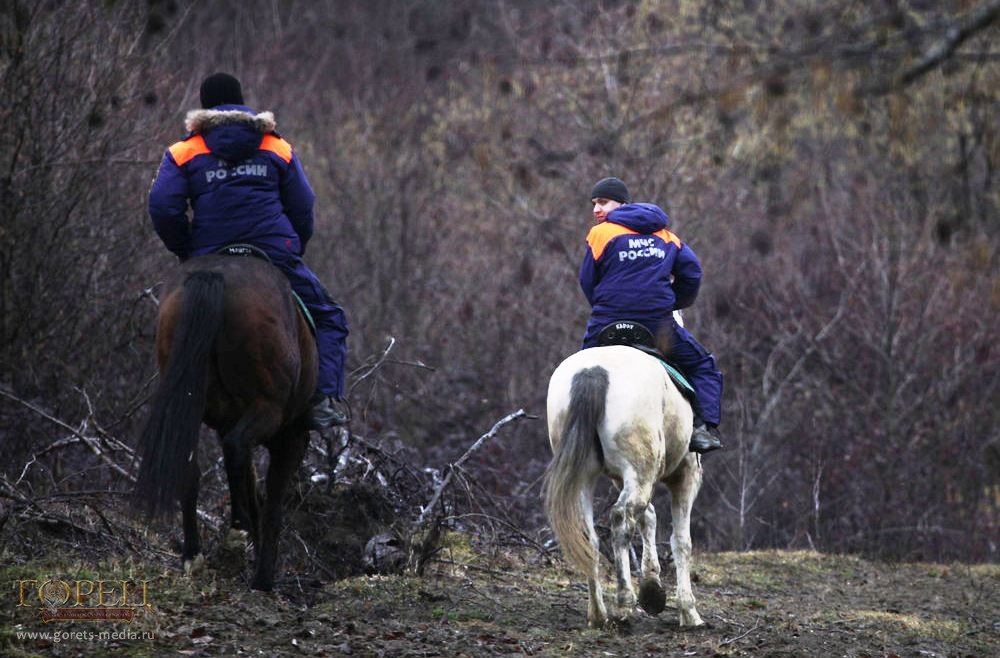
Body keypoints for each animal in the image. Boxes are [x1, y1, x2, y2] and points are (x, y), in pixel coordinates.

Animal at [137, 255, 314, 588]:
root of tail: (213, 275)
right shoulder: (292, 439)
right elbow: (272, 504)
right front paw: (263, 577)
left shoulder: (227, 423)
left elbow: (250, 488)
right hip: (268, 408)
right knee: (236, 448)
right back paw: (235, 537)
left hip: (192, 404)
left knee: (193, 465)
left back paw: (194, 555)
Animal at [548, 344, 704, 624]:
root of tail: (592, 372)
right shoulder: (686, 476)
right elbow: (681, 541)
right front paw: (689, 612)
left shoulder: (625, 478)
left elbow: (648, 517)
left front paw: (652, 588)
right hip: (641, 472)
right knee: (621, 520)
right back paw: (624, 603)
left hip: (588, 476)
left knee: (589, 535)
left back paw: (598, 614)